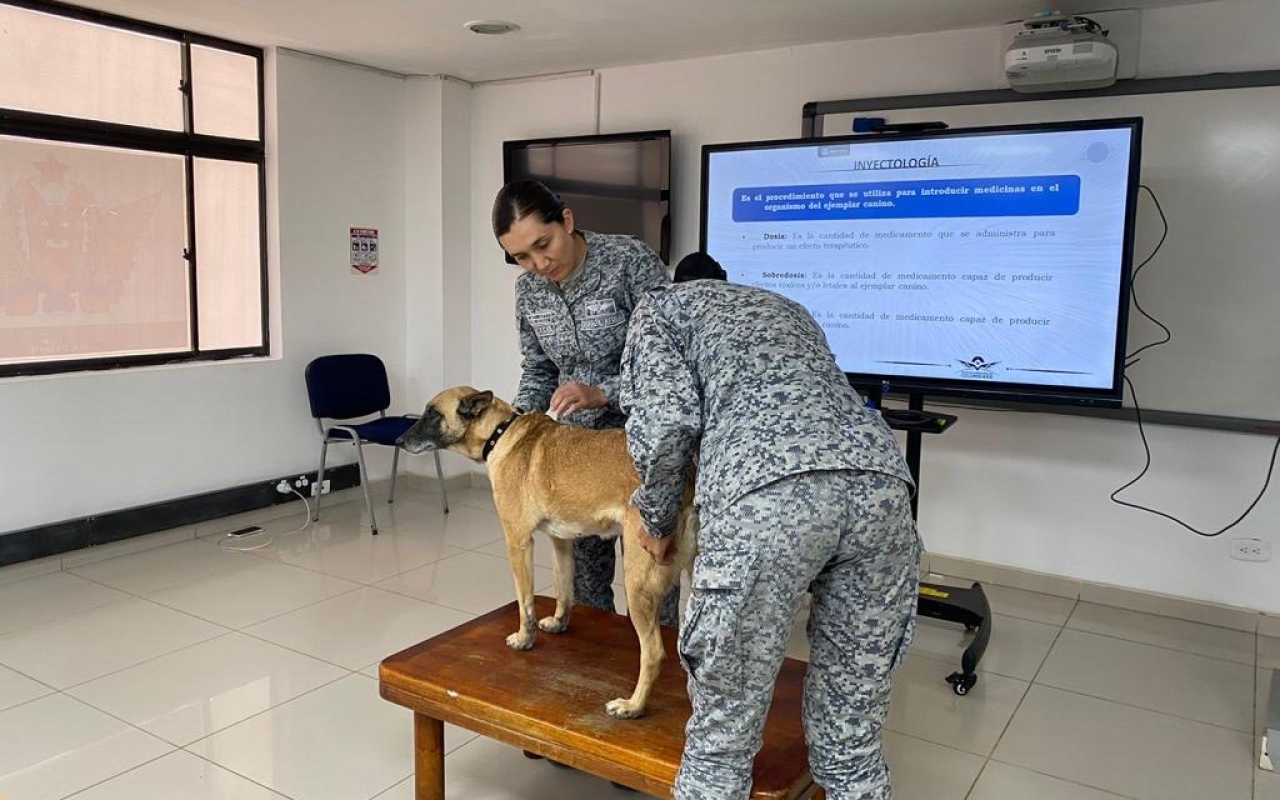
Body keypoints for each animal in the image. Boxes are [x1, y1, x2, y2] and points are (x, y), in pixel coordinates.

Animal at [404, 386, 696, 716]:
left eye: (433, 414)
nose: (400, 441)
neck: (499, 433)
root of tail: (686, 478)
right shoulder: (562, 542)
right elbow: (563, 590)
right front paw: (559, 623)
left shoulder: (517, 543)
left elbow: (525, 603)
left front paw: (524, 638)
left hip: (638, 583)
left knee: (655, 653)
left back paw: (633, 706)